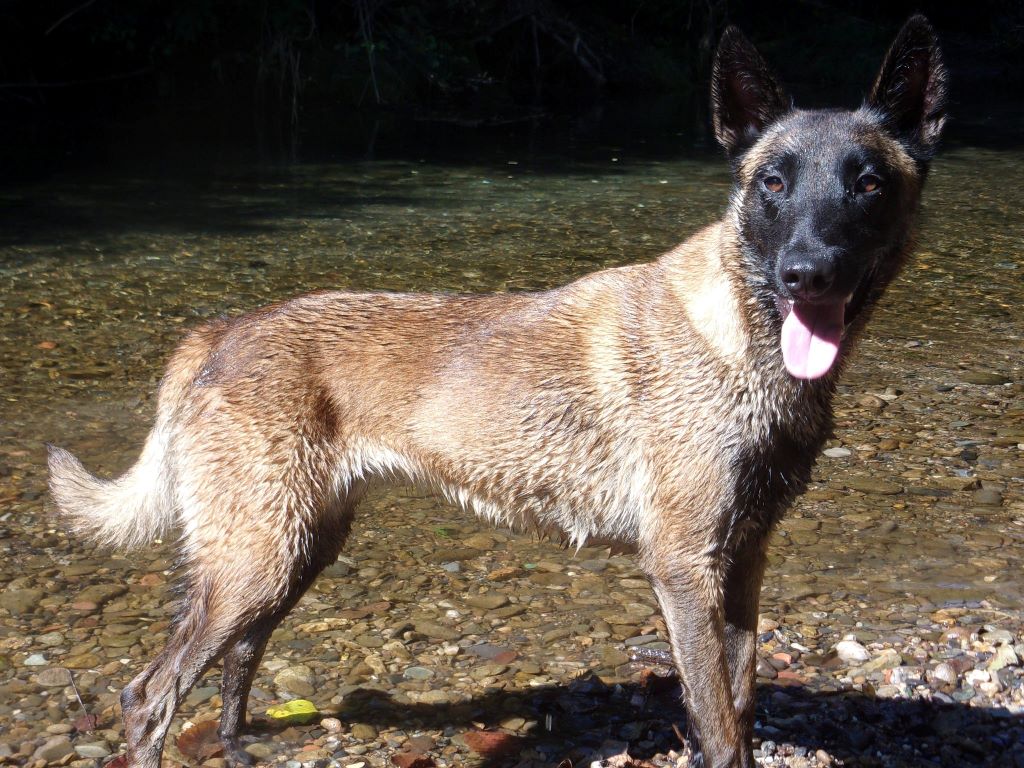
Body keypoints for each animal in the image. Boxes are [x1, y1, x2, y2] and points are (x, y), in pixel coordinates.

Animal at [46, 16, 942, 768]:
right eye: (773, 185)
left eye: (867, 184)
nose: (806, 273)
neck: (740, 335)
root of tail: (220, 333)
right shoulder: (685, 569)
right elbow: (720, 730)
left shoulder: (745, 560)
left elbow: (742, 702)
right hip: (257, 558)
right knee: (149, 695)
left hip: (290, 553)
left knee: (236, 659)